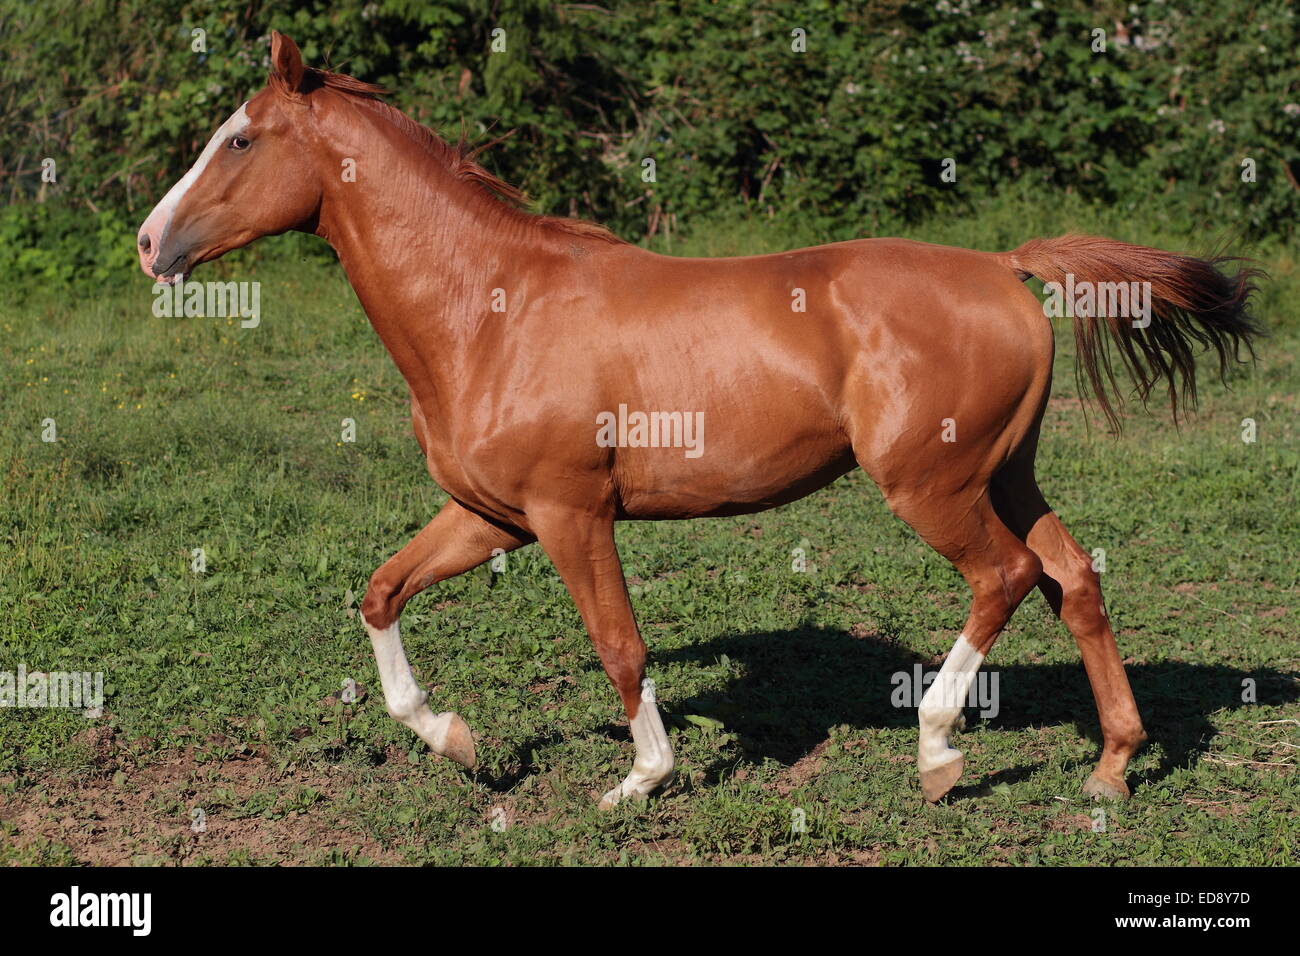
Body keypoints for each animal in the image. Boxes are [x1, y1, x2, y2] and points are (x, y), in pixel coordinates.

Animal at [136, 32, 1262, 808]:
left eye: (240, 139)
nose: (150, 243)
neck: (490, 308)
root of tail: (1002, 265)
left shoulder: (571, 515)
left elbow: (619, 645)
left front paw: (641, 779)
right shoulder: (492, 517)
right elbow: (379, 593)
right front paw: (458, 739)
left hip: (931, 487)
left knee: (1007, 576)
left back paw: (939, 751)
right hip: (1005, 473)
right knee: (1073, 577)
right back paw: (1111, 767)